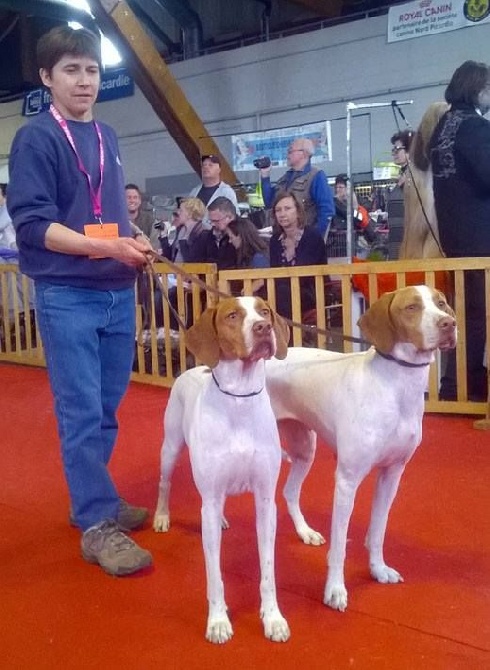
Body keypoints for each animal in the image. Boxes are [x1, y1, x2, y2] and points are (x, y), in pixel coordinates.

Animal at [153, 300, 290, 644]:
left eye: (264, 311)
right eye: (232, 315)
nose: (263, 329)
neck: (239, 399)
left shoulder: (265, 500)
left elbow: (268, 570)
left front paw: (273, 618)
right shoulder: (211, 498)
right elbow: (214, 574)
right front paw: (217, 621)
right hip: (170, 448)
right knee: (165, 483)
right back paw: (161, 516)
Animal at [266, 286, 458, 612]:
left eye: (441, 303)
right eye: (411, 307)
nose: (449, 324)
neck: (395, 385)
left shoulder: (392, 474)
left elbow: (378, 531)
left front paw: (378, 570)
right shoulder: (346, 481)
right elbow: (340, 545)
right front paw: (334, 590)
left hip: (305, 448)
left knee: (290, 491)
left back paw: (305, 532)